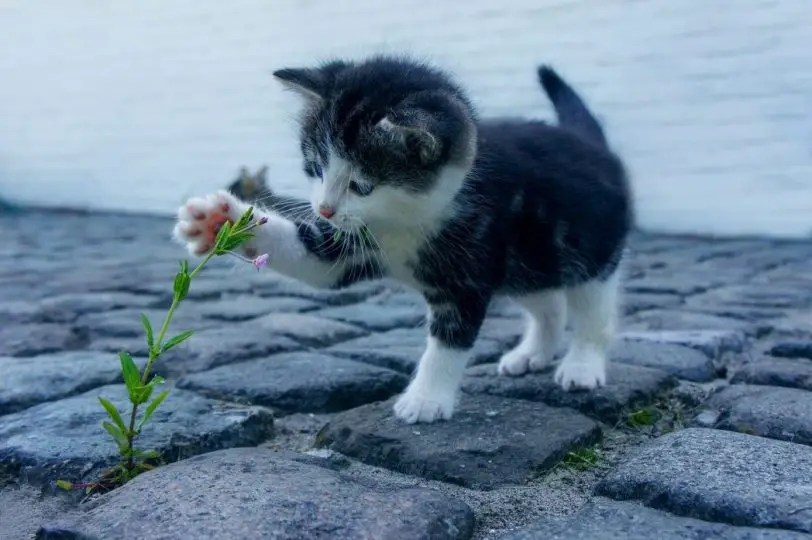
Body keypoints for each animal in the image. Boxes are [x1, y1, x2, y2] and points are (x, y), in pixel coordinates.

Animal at [174, 56, 636, 426]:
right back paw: (533, 353)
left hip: (589, 249)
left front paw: (426, 399)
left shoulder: (468, 268)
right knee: (548, 302)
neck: (405, 220)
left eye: (361, 185)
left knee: (592, 309)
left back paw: (581, 364)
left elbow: (449, 341)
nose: (323, 209)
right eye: (315, 167)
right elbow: (313, 258)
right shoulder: (352, 243)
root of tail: (593, 144)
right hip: (529, 259)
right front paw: (219, 220)